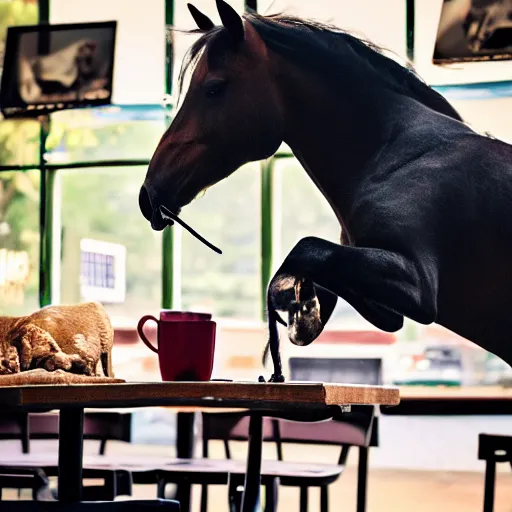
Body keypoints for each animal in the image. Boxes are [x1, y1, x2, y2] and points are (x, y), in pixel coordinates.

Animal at [139, 0, 512, 382]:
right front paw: (304, 306)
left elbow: (304, 249)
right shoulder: (386, 295)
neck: (397, 153)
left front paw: (296, 309)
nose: (148, 194)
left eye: (213, 88)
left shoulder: (416, 282)